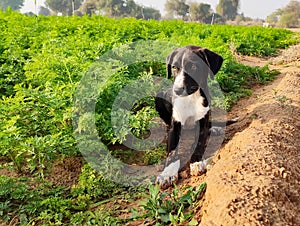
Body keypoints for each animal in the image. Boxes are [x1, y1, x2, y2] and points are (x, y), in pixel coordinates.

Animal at [155, 45, 223, 188]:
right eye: (174, 67)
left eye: (193, 67)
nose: (177, 90)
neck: (191, 98)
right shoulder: (175, 123)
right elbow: (172, 151)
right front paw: (167, 174)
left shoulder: (203, 119)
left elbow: (200, 143)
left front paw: (196, 162)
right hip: (159, 96)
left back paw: (214, 129)